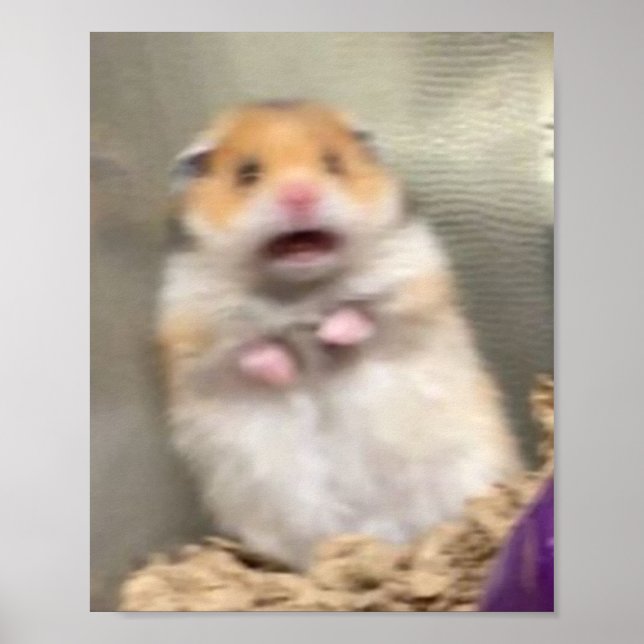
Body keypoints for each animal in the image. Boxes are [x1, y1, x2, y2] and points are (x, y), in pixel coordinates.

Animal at [157, 100, 521, 569]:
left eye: (334, 164)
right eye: (247, 174)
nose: (300, 196)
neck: (300, 290)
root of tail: (381, 534)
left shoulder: (416, 290)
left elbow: (365, 315)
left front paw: (330, 333)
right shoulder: (192, 336)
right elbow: (248, 351)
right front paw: (286, 370)